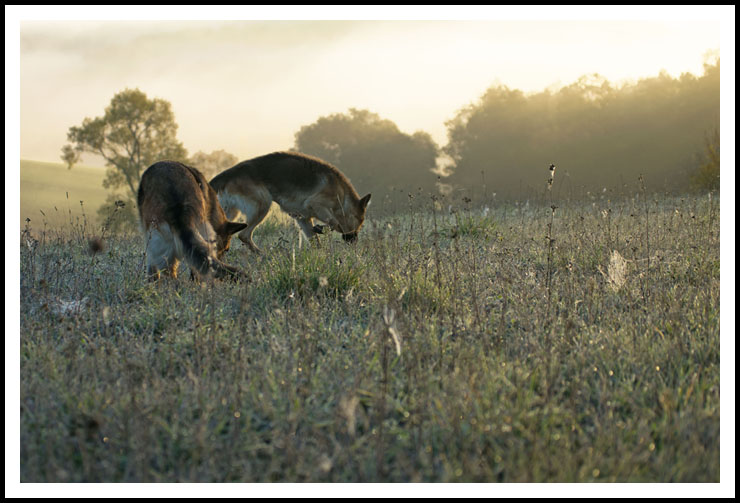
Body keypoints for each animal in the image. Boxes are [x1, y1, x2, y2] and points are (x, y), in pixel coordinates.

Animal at [208, 150, 370, 252]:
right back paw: (262, 254)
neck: (342, 197)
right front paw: (322, 228)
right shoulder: (316, 204)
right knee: (244, 235)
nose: (354, 243)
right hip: (263, 205)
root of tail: (226, 175)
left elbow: (315, 242)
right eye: (359, 223)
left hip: (229, 216)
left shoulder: (303, 219)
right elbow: (332, 222)